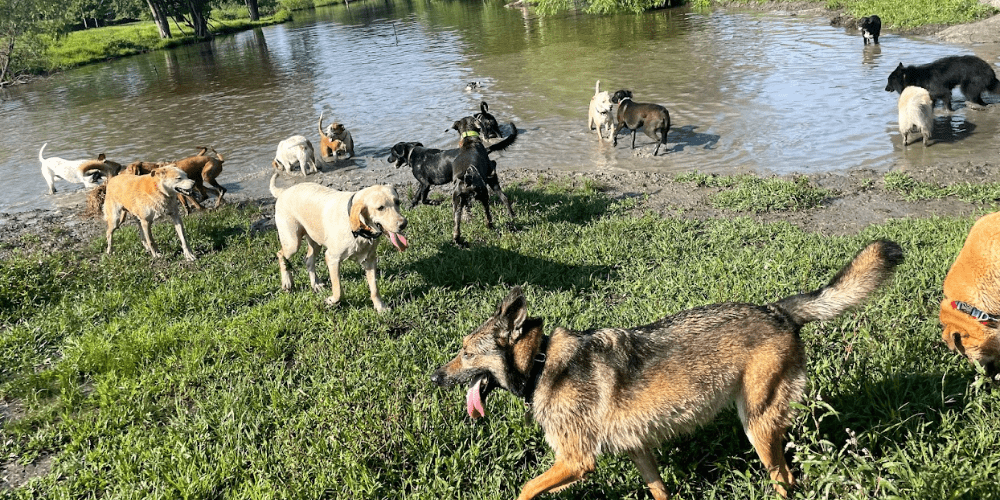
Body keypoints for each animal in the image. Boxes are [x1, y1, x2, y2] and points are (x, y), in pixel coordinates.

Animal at [270, 174, 410, 310]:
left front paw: (381, 307)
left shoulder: (370, 260)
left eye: (397, 202)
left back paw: (315, 284)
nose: (404, 224)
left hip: (315, 243)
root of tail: (284, 191)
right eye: (380, 208)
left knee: (308, 260)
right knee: (280, 254)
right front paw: (332, 301)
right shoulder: (332, 258)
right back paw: (287, 282)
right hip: (293, 243)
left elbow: (375, 289)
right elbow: (338, 290)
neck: (359, 230)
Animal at [434, 240, 904, 498]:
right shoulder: (637, 449)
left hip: (757, 426)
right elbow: (659, 490)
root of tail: (778, 310)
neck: (541, 363)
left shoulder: (577, 461)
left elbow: (524, 490)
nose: (436, 377)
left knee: (784, 477)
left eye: (466, 353)